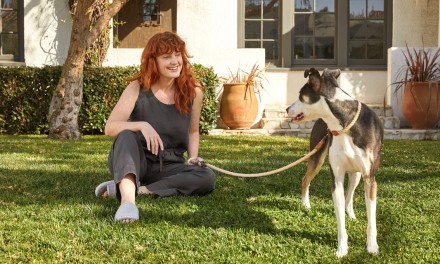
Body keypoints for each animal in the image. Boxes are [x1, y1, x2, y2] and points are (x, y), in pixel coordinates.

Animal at [288, 68, 384, 258]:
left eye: (301, 95)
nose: (287, 109)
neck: (345, 125)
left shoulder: (370, 178)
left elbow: (372, 220)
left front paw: (372, 247)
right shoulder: (336, 180)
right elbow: (340, 223)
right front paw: (342, 248)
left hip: (356, 175)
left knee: (350, 195)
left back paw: (351, 214)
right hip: (317, 157)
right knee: (305, 179)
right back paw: (305, 205)